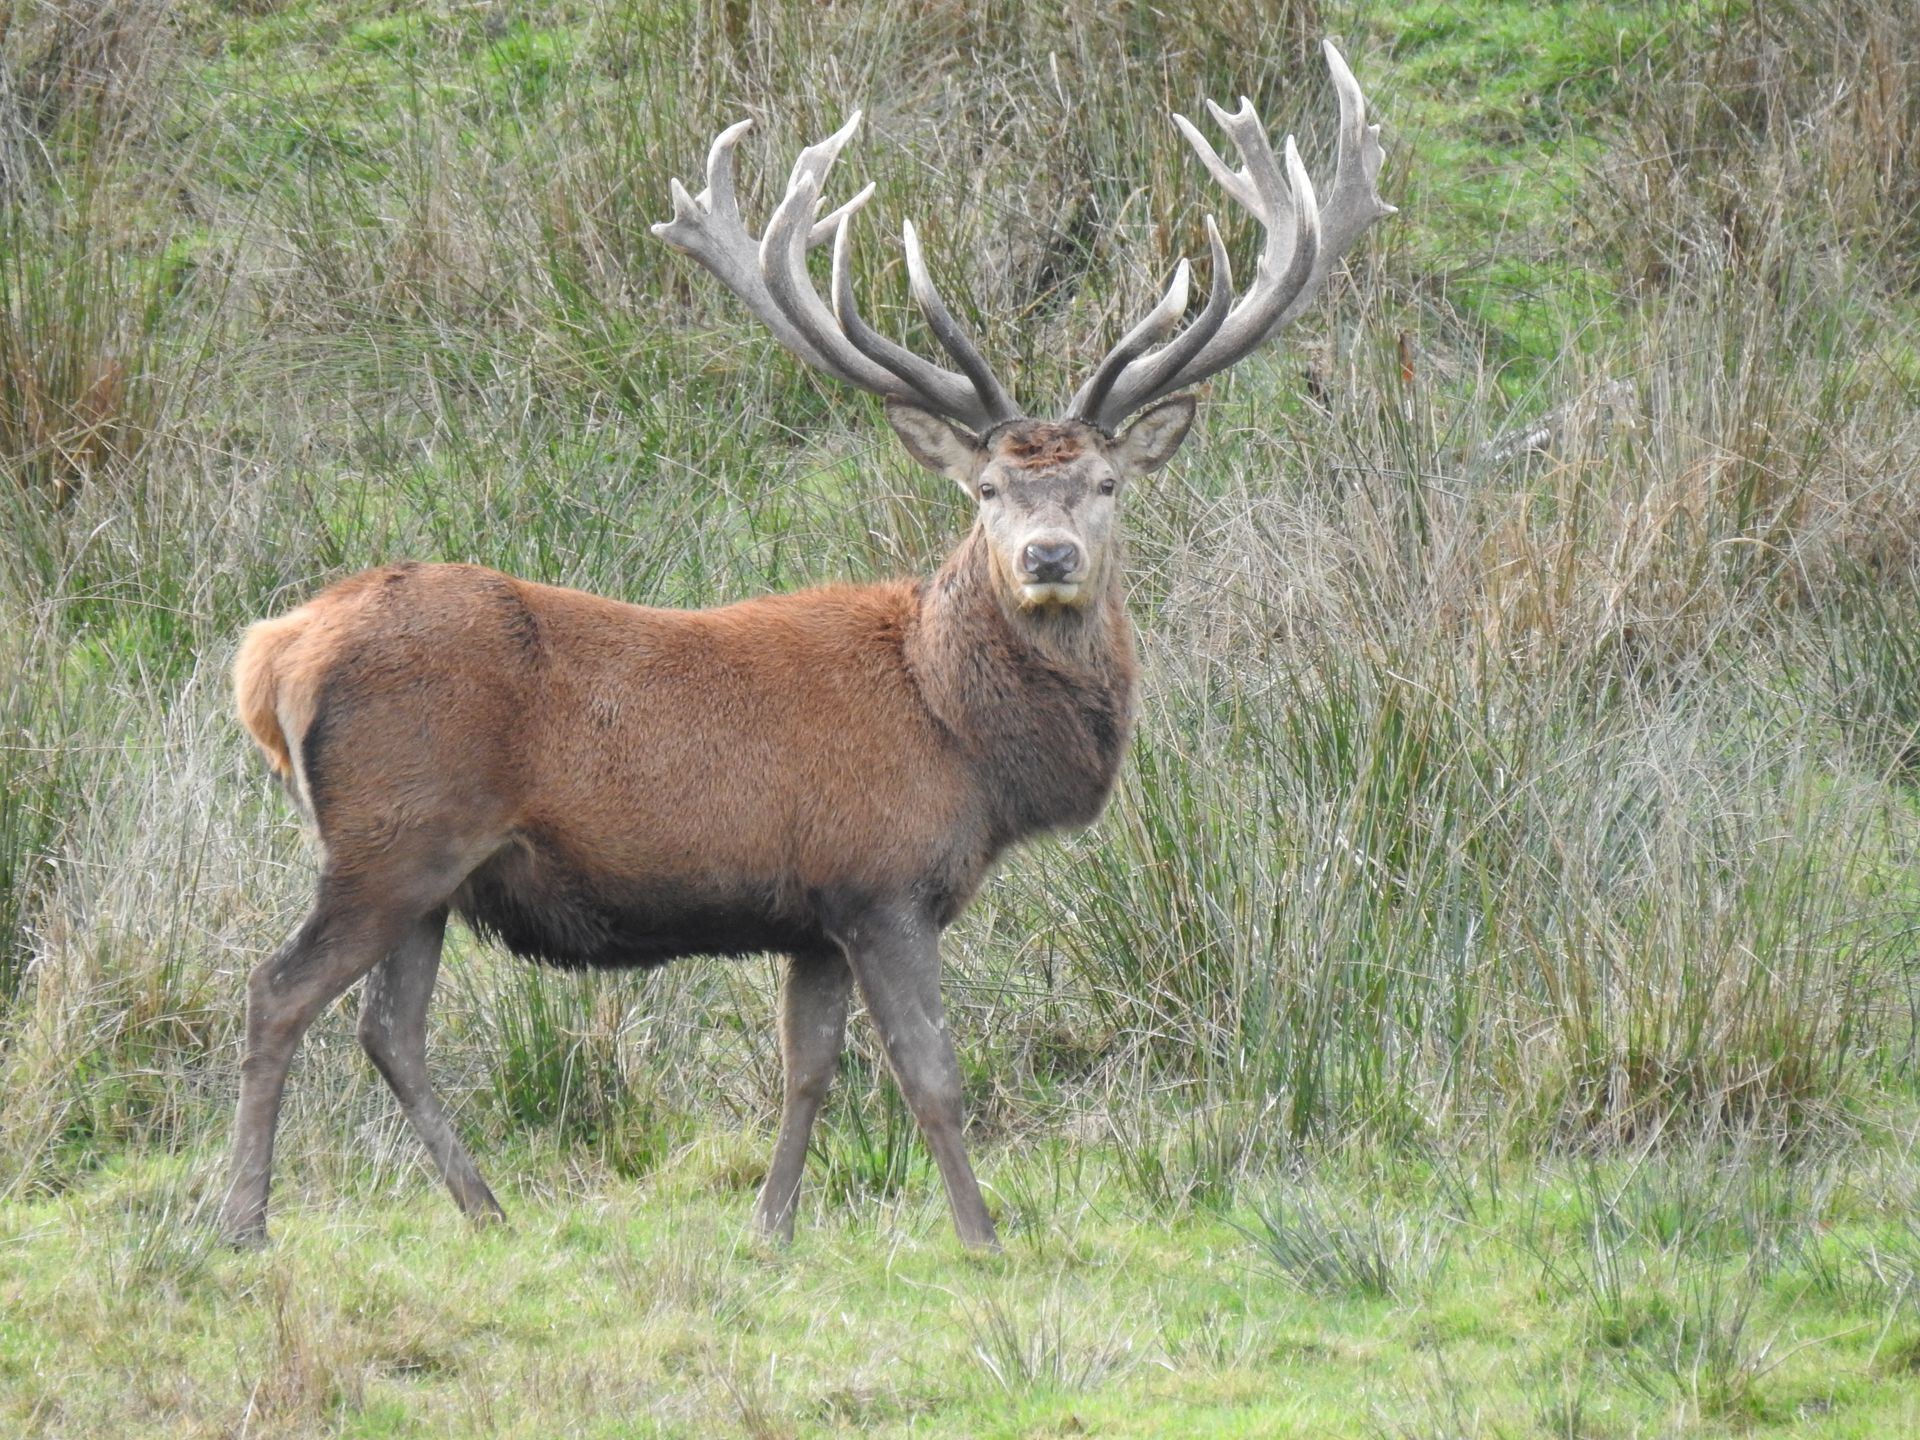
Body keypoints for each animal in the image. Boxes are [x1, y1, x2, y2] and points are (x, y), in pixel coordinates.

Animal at [218, 41, 1391, 1250]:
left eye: (1107, 483)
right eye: (987, 489)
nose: (1050, 555)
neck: (961, 735)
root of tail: (271, 654)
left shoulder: (815, 918)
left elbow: (809, 1071)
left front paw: (772, 1226)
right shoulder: (885, 881)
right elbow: (930, 1075)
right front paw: (981, 1236)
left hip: (431, 872)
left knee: (388, 1030)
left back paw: (486, 1210)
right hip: (391, 837)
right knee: (276, 991)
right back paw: (245, 1221)